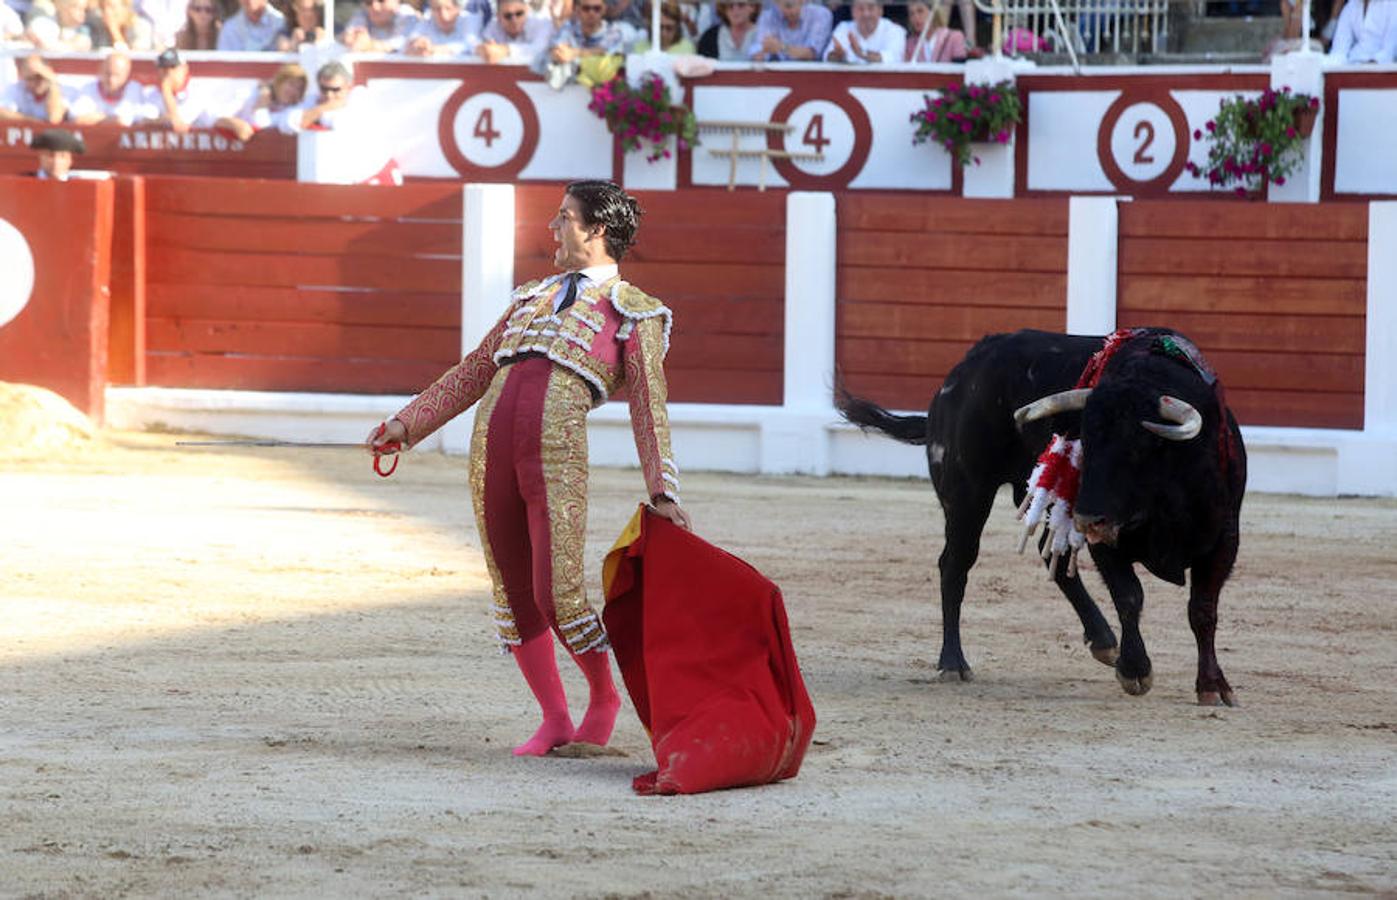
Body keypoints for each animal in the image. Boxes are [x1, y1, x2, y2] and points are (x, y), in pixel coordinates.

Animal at [832, 329, 1251, 709]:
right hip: (967, 494)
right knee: (955, 564)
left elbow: (1202, 610)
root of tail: (963, 369)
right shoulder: (1106, 540)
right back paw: (953, 662)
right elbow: (1130, 596)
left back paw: (1103, 641)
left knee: (1050, 556)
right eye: (1085, 443)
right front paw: (1135, 670)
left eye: (1140, 448)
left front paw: (1213, 686)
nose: (1087, 516)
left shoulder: (1224, 537)